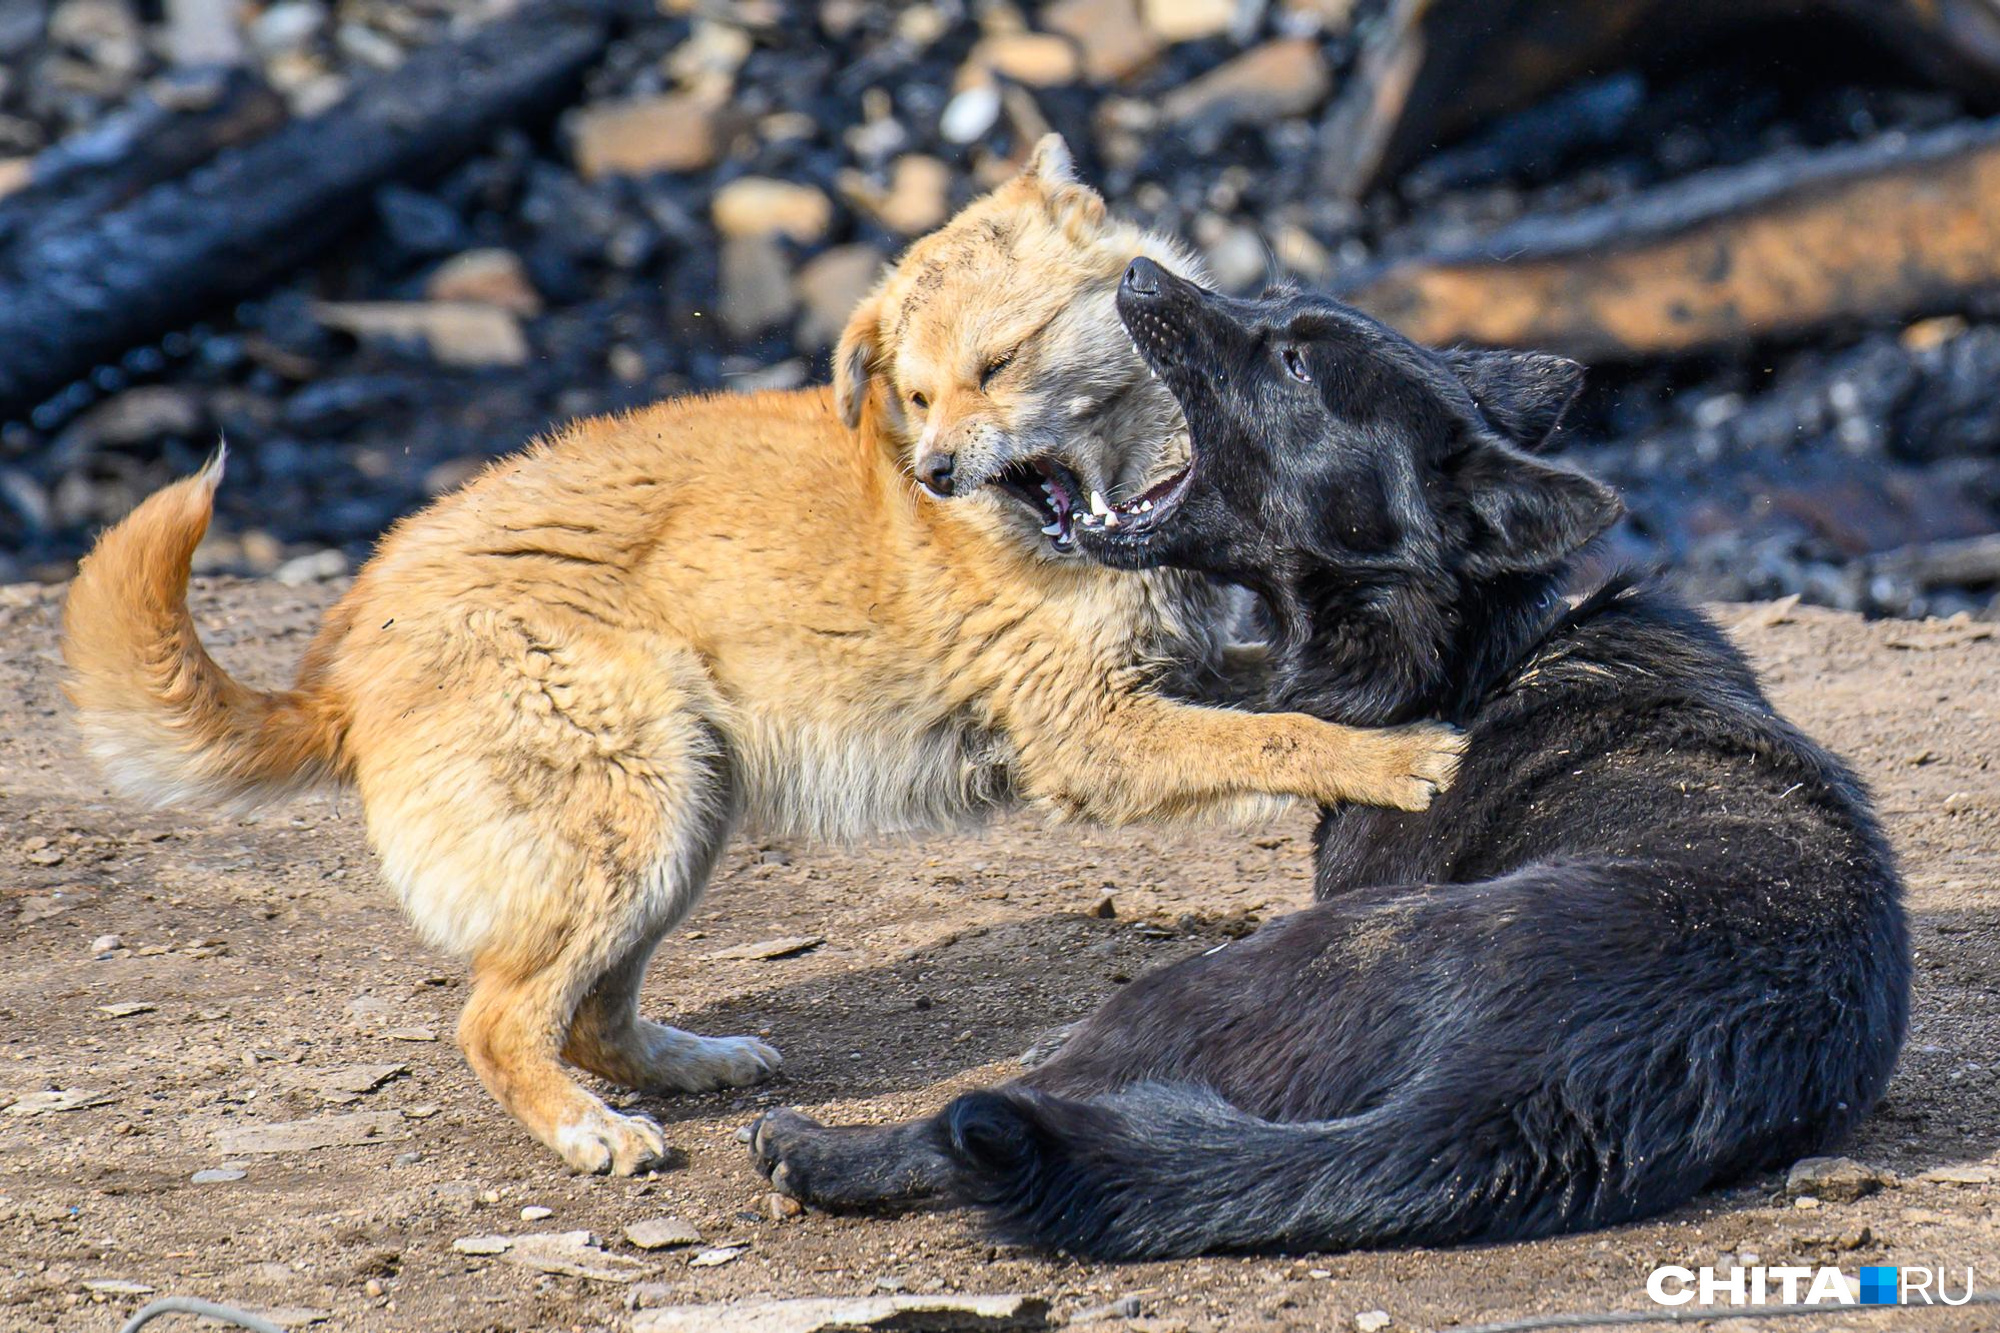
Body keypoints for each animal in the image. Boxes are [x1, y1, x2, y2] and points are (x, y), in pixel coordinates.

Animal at [66, 135, 1456, 1176]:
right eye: (914, 394)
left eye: (998, 363)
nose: (936, 473)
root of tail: (338, 663)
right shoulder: (1095, 736)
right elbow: (1277, 736)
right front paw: (1397, 762)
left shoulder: (1172, 682)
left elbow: (1270, 712)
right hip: (630, 810)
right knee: (498, 1021)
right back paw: (588, 1132)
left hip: (681, 810)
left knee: (593, 1011)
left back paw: (685, 1065)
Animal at [748, 260, 1904, 1256]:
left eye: (1297, 364)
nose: (1137, 272)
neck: (1473, 655)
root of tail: (1548, 1085)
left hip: (1229, 973)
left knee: (994, 1117)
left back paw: (827, 1151)